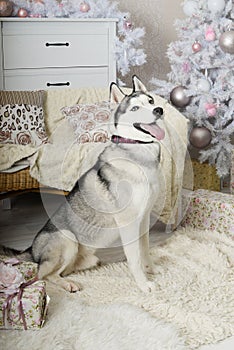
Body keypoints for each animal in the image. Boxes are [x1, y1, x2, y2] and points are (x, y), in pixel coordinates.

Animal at [2, 76, 166, 292]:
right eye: (135, 108)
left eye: (151, 101)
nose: (159, 110)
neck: (137, 152)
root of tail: (31, 249)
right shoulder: (128, 222)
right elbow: (135, 258)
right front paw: (144, 284)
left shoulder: (144, 218)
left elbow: (145, 250)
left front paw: (152, 269)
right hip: (67, 238)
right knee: (43, 274)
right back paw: (67, 284)